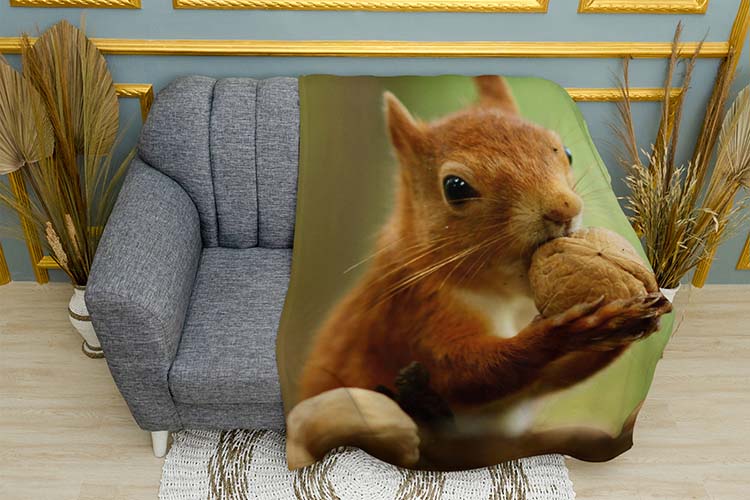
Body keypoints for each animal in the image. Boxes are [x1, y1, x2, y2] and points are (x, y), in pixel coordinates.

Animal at [287, 76, 671, 470]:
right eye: (455, 187)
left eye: (565, 152)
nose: (565, 208)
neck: (506, 296)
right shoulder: (414, 313)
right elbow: (462, 371)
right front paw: (572, 330)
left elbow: (552, 378)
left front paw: (637, 316)